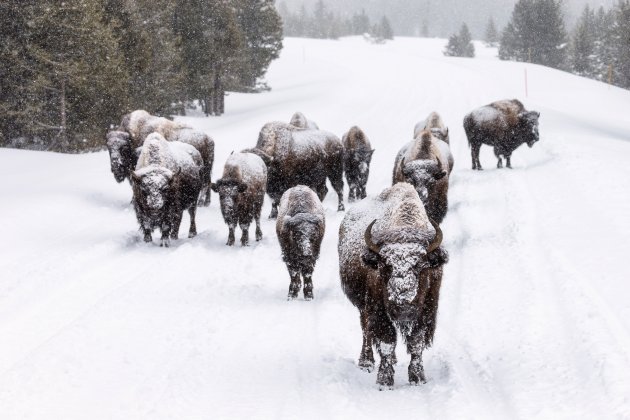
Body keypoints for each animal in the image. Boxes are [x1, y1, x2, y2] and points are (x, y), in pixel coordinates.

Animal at [340, 185, 450, 390]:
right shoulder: (379, 311)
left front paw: (417, 378)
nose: (403, 307)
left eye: (421, 266)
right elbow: (386, 342)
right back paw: (366, 362)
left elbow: (416, 343)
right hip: (363, 306)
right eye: (385, 266)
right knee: (366, 329)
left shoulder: (425, 311)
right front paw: (384, 381)